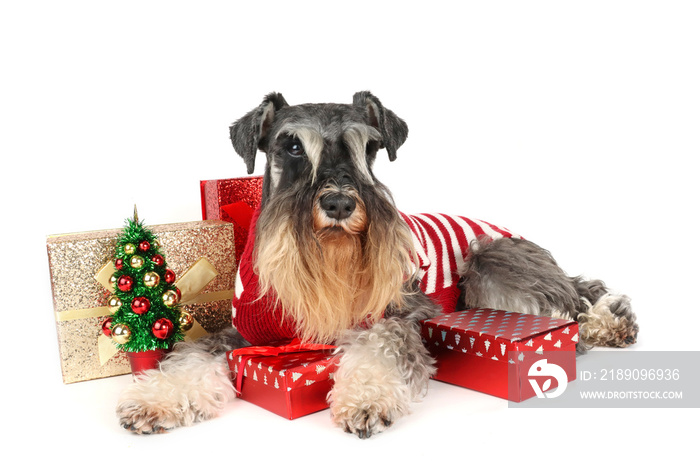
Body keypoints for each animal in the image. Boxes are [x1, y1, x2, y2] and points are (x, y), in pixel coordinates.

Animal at [119, 90, 640, 436]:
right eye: (292, 145)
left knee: (574, 303)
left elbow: (382, 346)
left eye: (367, 148)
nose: (339, 203)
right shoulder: (242, 334)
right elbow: (190, 357)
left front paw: (365, 398)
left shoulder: (401, 314)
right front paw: (154, 401)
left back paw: (605, 327)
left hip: (492, 260)